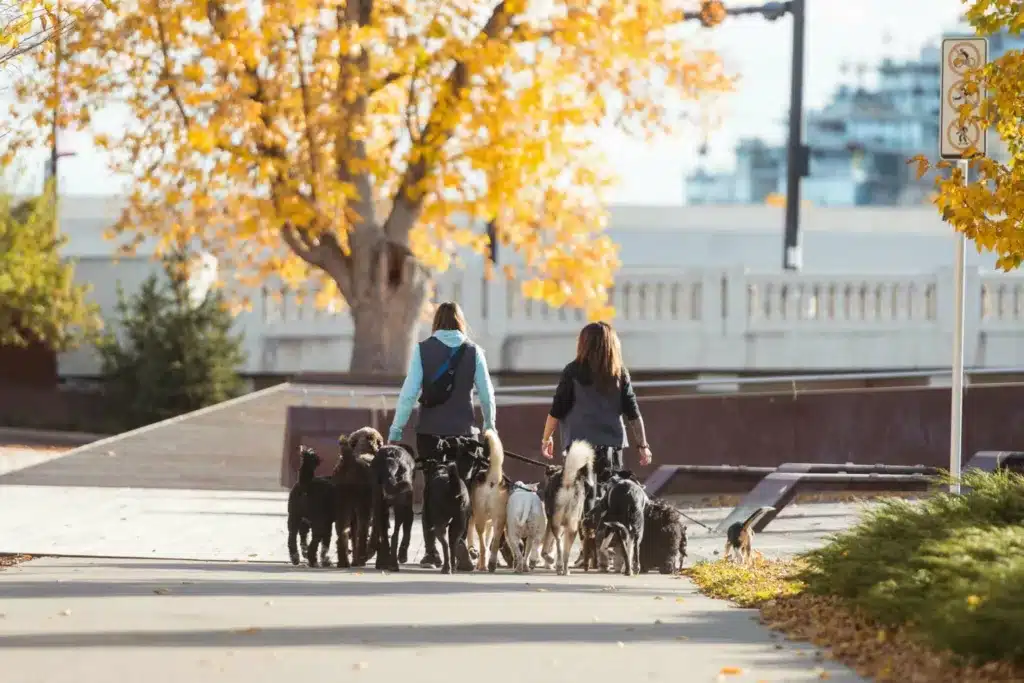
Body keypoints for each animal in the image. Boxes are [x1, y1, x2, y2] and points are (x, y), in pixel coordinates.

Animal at [331, 430, 385, 569]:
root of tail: (350, 461)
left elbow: (354, 534)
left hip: (342, 502)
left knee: (343, 530)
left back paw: (344, 562)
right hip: (362, 503)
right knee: (363, 528)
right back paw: (361, 558)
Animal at [372, 444, 415, 573]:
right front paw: (402, 556)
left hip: (379, 503)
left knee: (385, 535)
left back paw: (386, 563)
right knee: (394, 534)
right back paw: (392, 564)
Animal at [544, 440, 593, 573]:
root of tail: (568, 481)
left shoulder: (550, 524)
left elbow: (546, 548)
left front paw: (549, 559)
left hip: (556, 523)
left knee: (559, 544)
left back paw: (559, 566)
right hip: (573, 526)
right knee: (566, 550)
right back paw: (564, 569)